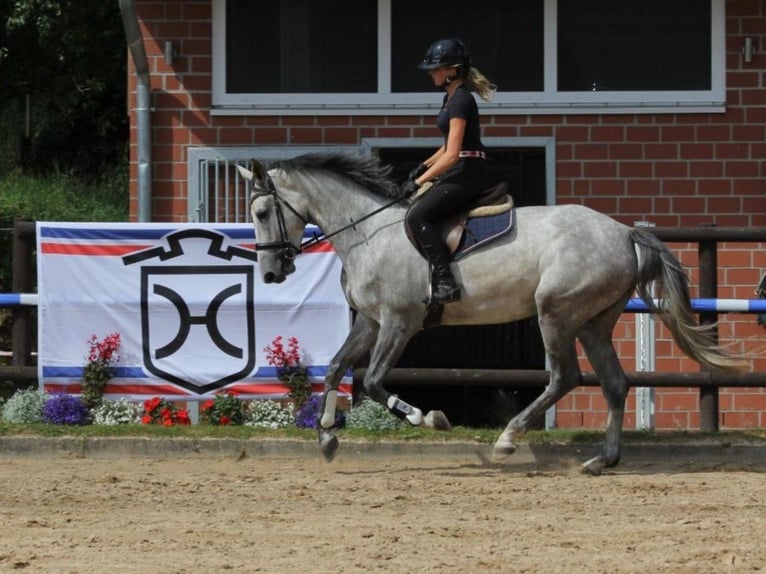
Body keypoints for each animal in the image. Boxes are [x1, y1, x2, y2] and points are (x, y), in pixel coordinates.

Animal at [238, 152, 744, 476]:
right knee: (615, 383)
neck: (368, 232)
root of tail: (623, 233)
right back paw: (602, 460)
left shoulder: (400, 323)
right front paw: (326, 438)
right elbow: (336, 368)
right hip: (592, 322)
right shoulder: (371, 321)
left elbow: (376, 382)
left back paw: (508, 439)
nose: (271, 273)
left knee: (566, 377)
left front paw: (431, 419)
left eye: (261, 211)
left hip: (555, 313)